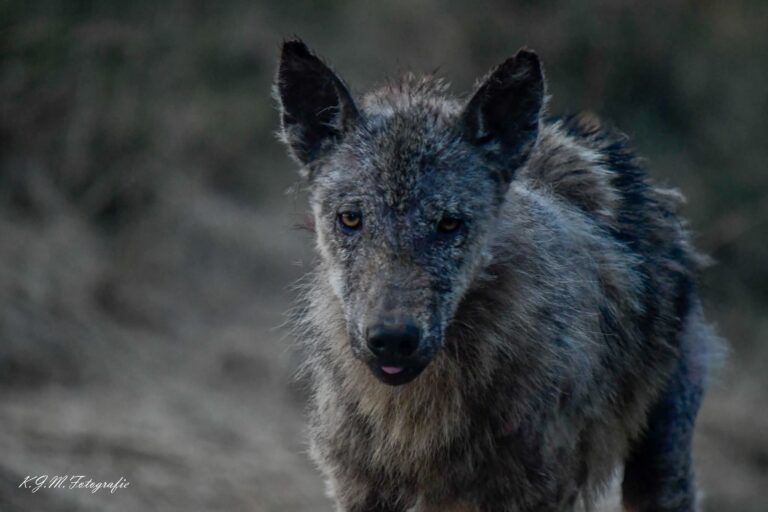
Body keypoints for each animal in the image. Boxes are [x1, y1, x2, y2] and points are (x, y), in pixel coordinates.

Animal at [274, 39, 721, 512]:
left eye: (449, 223)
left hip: (658, 471)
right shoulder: (360, 488)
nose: (393, 339)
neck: (417, 419)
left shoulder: (535, 494)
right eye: (350, 218)